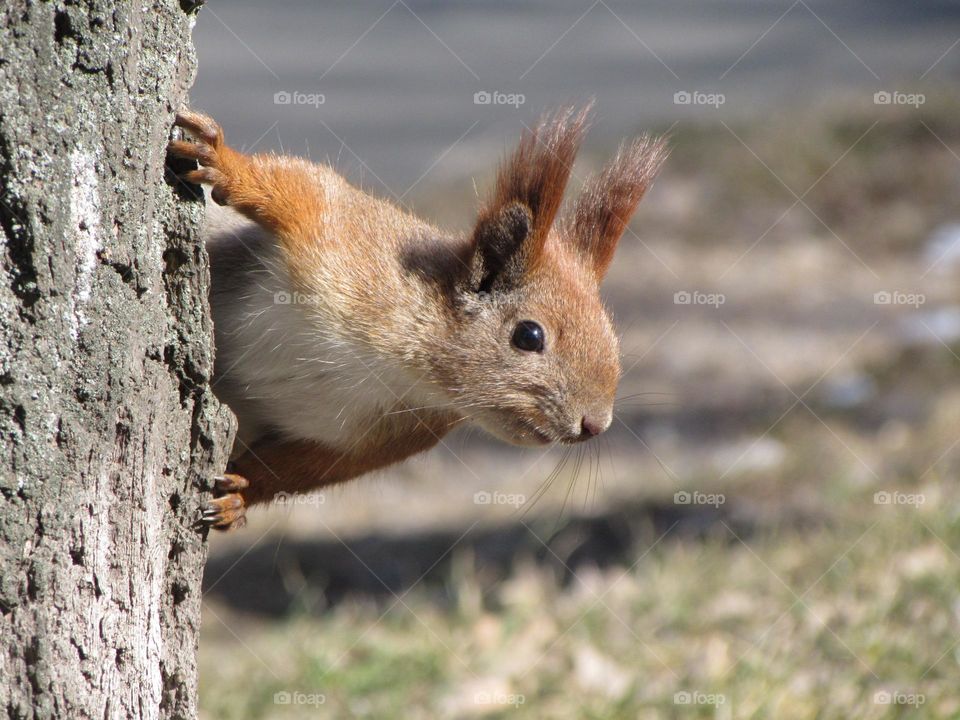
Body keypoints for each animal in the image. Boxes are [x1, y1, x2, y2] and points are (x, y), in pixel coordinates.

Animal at [169, 105, 664, 528]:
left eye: (614, 337)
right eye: (529, 335)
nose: (594, 425)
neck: (404, 366)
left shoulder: (375, 440)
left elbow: (301, 471)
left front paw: (239, 495)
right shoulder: (339, 233)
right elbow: (297, 187)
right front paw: (223, 160)